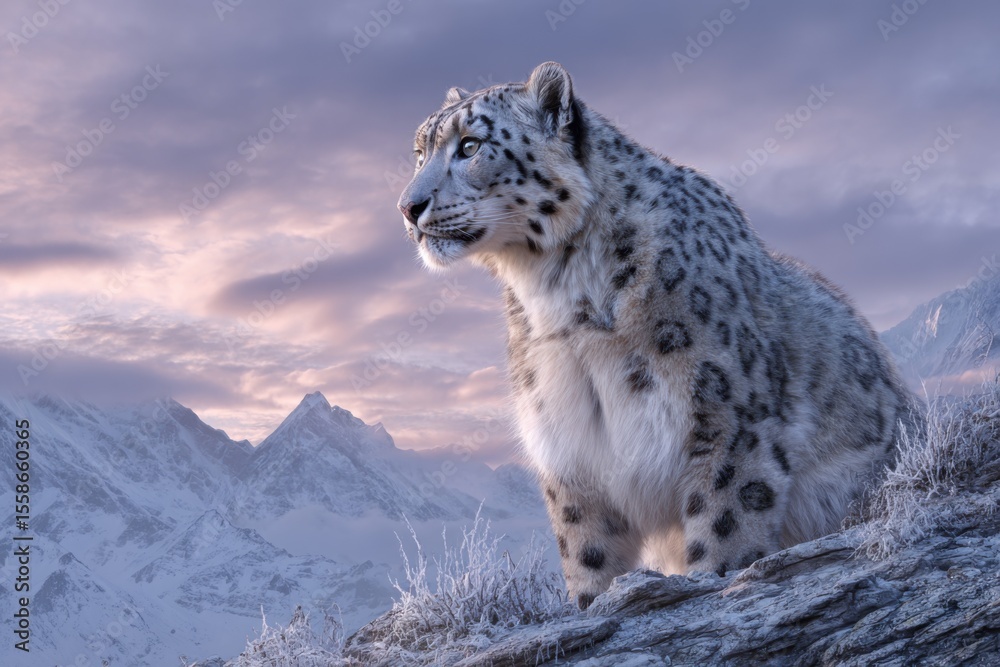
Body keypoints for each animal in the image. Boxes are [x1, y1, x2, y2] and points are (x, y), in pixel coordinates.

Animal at [397, 62, 919, 610]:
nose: (409, 207)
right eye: (419, 152)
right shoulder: (571, 451)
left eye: (470, 145)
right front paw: (590, 604)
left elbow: (725, 526)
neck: (558, 294)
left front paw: (715, 582)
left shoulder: (729, 426)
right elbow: (587, 554)